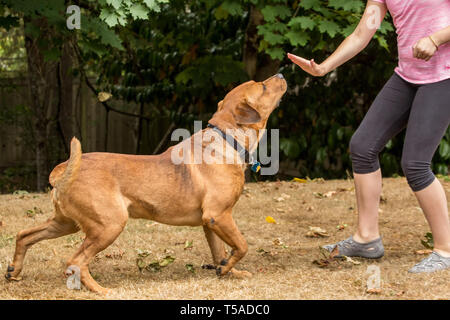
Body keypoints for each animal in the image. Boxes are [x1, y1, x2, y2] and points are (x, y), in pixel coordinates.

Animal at [5, 74, 286, 294]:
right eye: (262, 86)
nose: (282, 74)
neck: (227, 139)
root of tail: (62, 171)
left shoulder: (211, 222)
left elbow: (220, 252)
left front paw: (228, 271)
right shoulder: (219, 216)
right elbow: (242, 245)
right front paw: (229, 267)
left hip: (66, 223)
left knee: (25, 235)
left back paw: (13, 270)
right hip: (109, 225)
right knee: (75, 260)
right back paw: (99, 289)